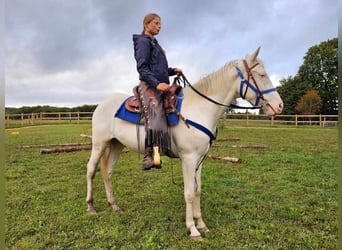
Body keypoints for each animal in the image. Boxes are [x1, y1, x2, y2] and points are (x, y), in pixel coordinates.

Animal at [85, 47, 284, 240]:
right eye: (261, 75)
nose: (279, 105)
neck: (200, 108)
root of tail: (102, 104)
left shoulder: (200, 159)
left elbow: (197, 190)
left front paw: (201, 224)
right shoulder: (188, 158)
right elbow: (188, 193)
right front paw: (192, 229)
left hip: (116, 144)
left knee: (108, 172)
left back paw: (114, 205)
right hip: (99, 143)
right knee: (91, 169)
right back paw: (91, 206)